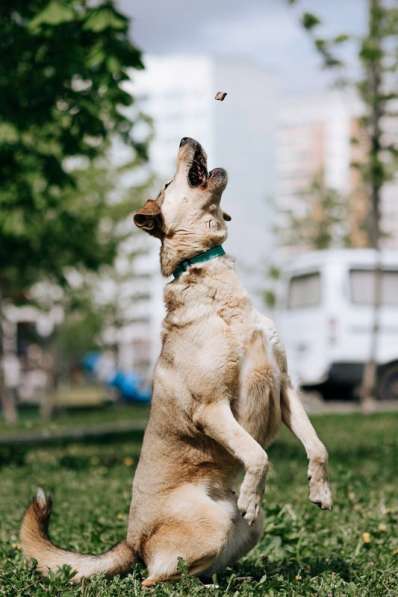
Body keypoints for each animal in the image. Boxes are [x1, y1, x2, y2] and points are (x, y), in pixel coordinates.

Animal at [21, 136, 332, 588]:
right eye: (168, 183)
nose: (187, 139)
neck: (210, 279)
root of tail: (131, 541)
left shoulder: (285, 386)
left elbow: (317, 445)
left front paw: (320, 490)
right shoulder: (213, 406)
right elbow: (258, 454)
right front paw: (253, 494)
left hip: (247, 532)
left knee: (193, 568)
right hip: (211, 526)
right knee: (153, 578)